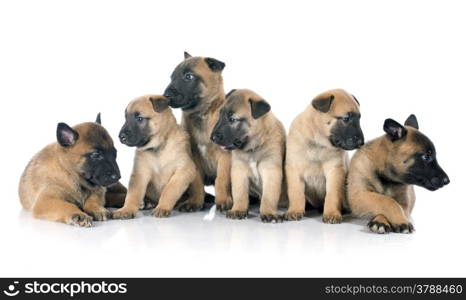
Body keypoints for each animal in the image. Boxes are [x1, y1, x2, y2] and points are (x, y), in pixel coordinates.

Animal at [164, 51, 233, 211]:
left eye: (188, 76)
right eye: (172, 77)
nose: (166, 95)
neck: (203, 114)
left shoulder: (225, 156)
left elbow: (221, 179)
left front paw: (223, 200)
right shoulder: (193, 156)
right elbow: (196, 182)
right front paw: (195, 202)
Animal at [211, 89, 288, 223]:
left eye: (232, 119)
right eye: (220, 115)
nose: (213, 138)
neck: (253, 148)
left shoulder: (270, 169)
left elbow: (269, 195)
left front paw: (268, 213)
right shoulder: (239, 170)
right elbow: (240, 192)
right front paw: (238, 209)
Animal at [284, 88, 364, 223]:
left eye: (359, 118)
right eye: (346, 118)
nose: (361, 142)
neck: (318, 143)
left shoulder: (334, 171)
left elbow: (332, 195)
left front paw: (332, 213)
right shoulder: (294, 169)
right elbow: (296, 193)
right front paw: (294, 210)